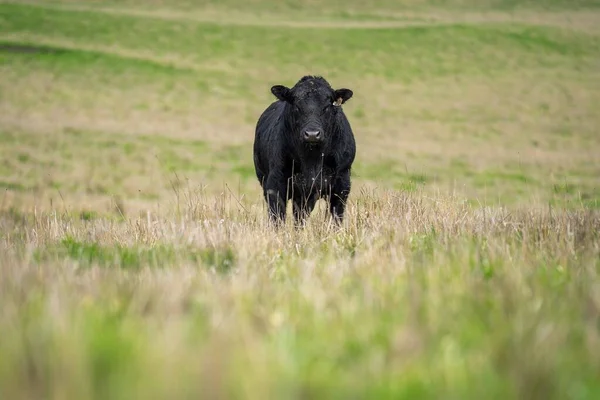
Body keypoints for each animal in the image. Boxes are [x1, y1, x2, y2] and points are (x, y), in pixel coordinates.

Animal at [253, 74, 356, 225]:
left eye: (327, 106)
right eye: (296, 105)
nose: (312, 134)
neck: (312, 160)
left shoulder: (342, 183)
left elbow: (336, 217)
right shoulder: (275, 183)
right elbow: (277, 217)